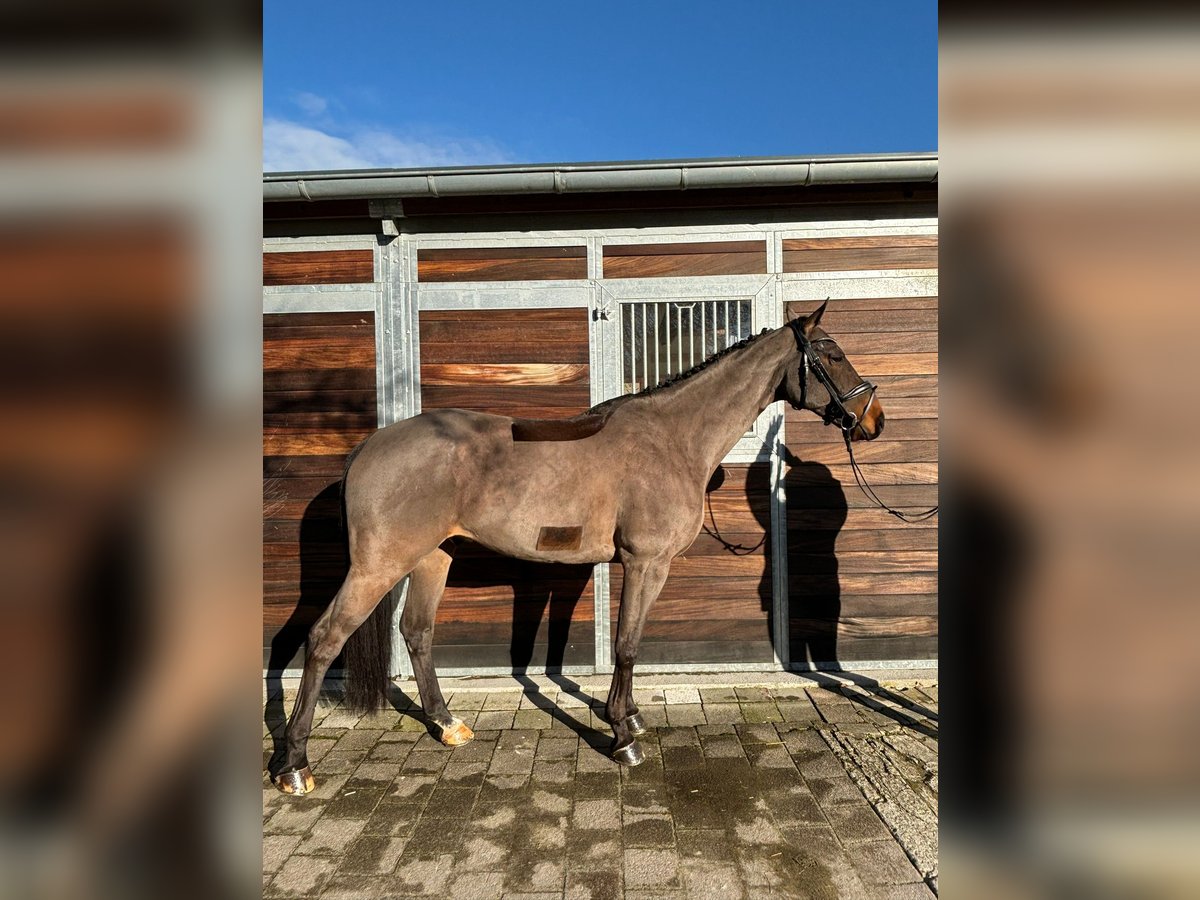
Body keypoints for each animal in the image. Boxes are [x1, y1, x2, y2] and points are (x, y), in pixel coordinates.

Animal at [276, 300, 888, 792]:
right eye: (833, 356)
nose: (875, 420)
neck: (673, 440)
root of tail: (369, 447)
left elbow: (621, 643)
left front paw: (630, 718)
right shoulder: (645, 564)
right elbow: (627, 645)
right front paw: (624, 736)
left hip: (433, 558)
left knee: (417, 633)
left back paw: (448, 726)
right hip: (379, 566)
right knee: (324, 638)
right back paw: (295, 766)